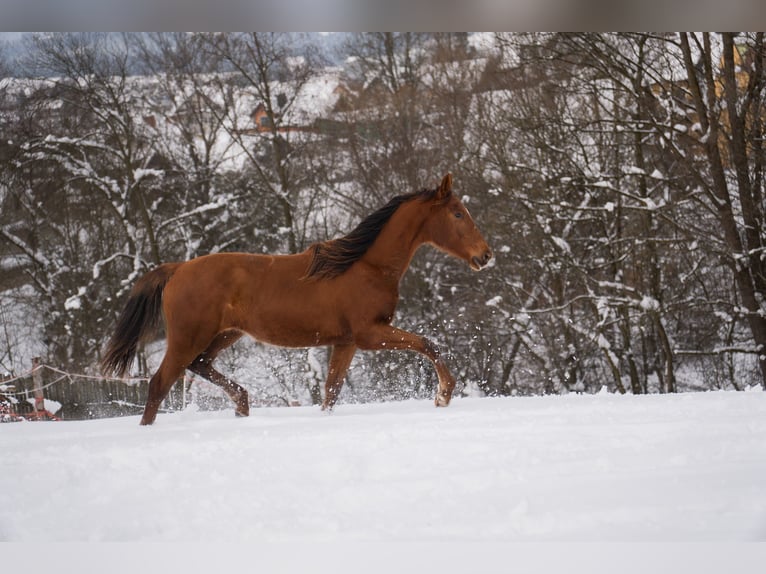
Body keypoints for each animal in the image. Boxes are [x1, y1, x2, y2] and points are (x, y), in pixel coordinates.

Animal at [101, 173, 493, 425]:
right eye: (458, 213)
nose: (485, 255)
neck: (367, 265)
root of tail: (178, 268)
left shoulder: (346, 342)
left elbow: (331, 392)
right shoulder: (370, 333)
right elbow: (428, 343)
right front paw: (444, 394)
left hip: (226, 334)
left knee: (199, 365)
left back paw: (243, 404)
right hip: (187, 337)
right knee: (159, 384)